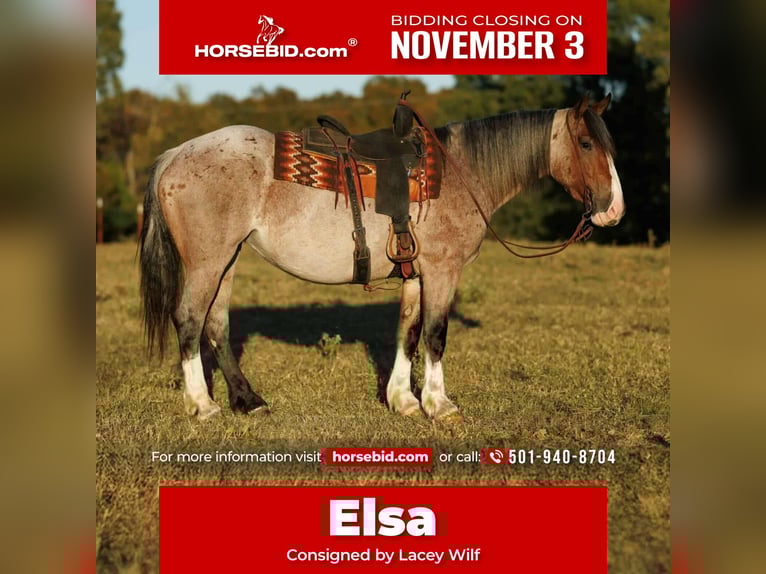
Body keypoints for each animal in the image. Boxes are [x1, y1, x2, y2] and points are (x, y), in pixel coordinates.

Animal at [139, 93, 624, 421]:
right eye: (585, 143)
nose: (614, 209)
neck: (460, 173)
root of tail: (174, 155)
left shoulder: (415, 274)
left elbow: (406, 333)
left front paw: (403, 400)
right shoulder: (442, 272)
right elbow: (435, 335)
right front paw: (438, 404)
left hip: (228, 259)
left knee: (216, 326)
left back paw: (248, 401)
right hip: (207, 261)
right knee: (188, 320)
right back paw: (202, 405)